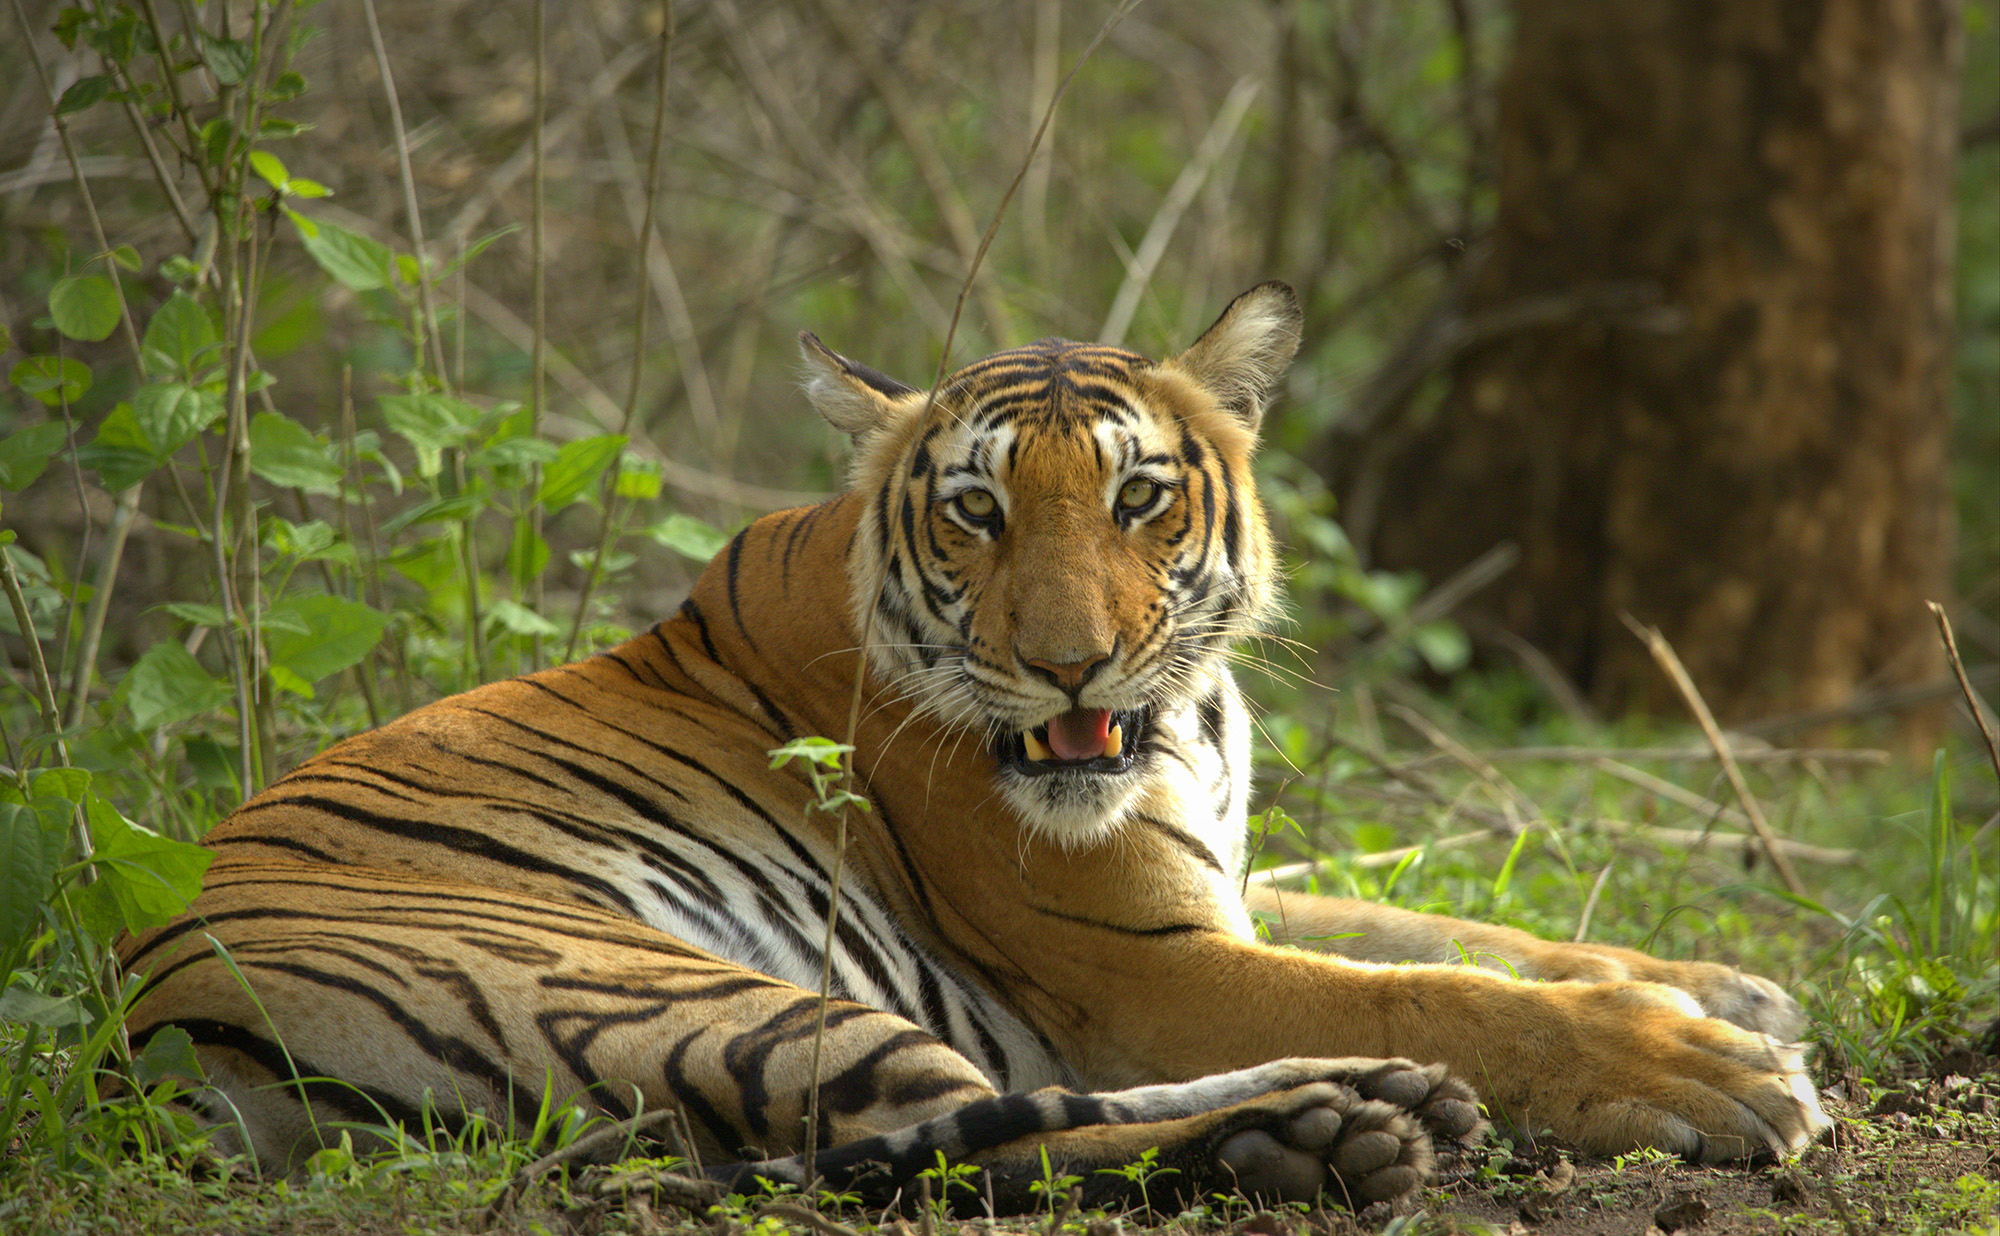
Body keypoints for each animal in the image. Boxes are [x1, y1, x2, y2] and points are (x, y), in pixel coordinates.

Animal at [119, 283, 1828, 1213]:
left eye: (1139, 499)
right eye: (978, 510)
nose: (1070, 661)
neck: (1185, 725)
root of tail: (147, 1039)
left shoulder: (1223, 886)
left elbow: (1443, 930)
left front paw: (1724, 985)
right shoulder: (1145, 963)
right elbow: (1450, 991)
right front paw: (1716, 1070)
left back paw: (1353, 1112)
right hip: (652, 982)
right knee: (957, 1138)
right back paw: (1328, 1125)